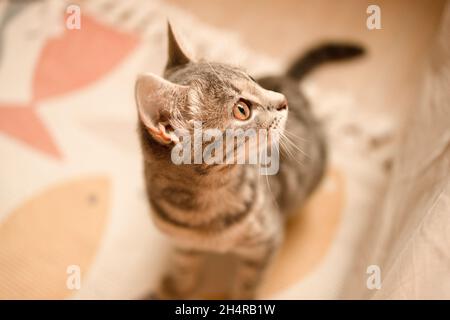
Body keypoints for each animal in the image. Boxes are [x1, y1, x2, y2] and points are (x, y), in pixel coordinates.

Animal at [135, 23, 364, 300]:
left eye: (253, 79)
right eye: (242, 109)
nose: (282, 100)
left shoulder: (266, 242)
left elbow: (248, 284)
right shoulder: (181, 243)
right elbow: (183, 267)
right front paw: (176, 289)